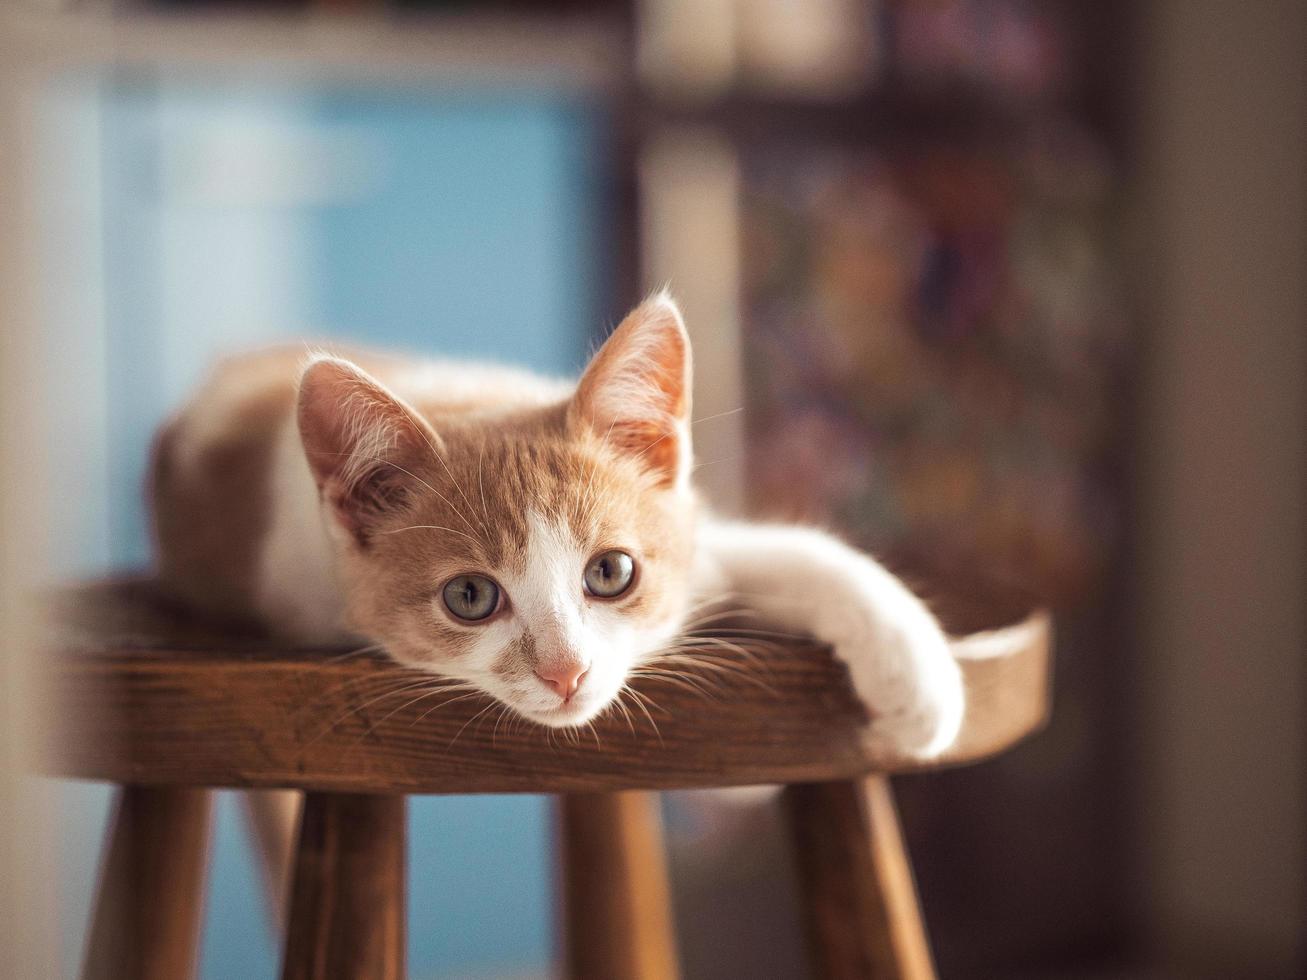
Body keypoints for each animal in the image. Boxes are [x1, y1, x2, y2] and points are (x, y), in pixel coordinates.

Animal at [152, 291, 967, 757]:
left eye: (610, 572)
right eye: (470, 597)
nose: (566, 672)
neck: (471, 397)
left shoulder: (691, 532)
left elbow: (785, 551)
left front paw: (915, 677)